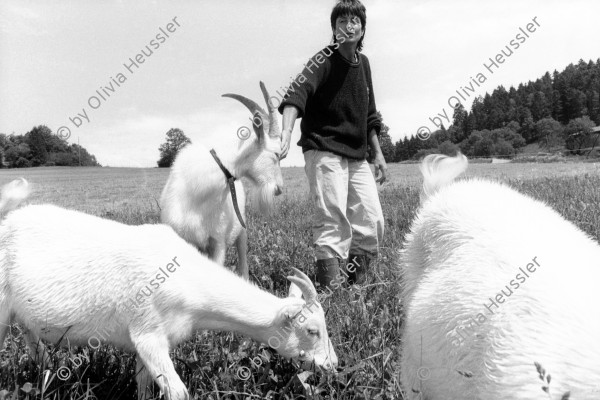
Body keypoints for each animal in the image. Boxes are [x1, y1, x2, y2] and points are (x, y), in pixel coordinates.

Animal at [0, 179, 336, 400]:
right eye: (312, 330)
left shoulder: (143, 340)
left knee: (33, 341)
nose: (333, 365)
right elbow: (177, 392)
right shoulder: (149, 334)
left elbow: (144, 387)